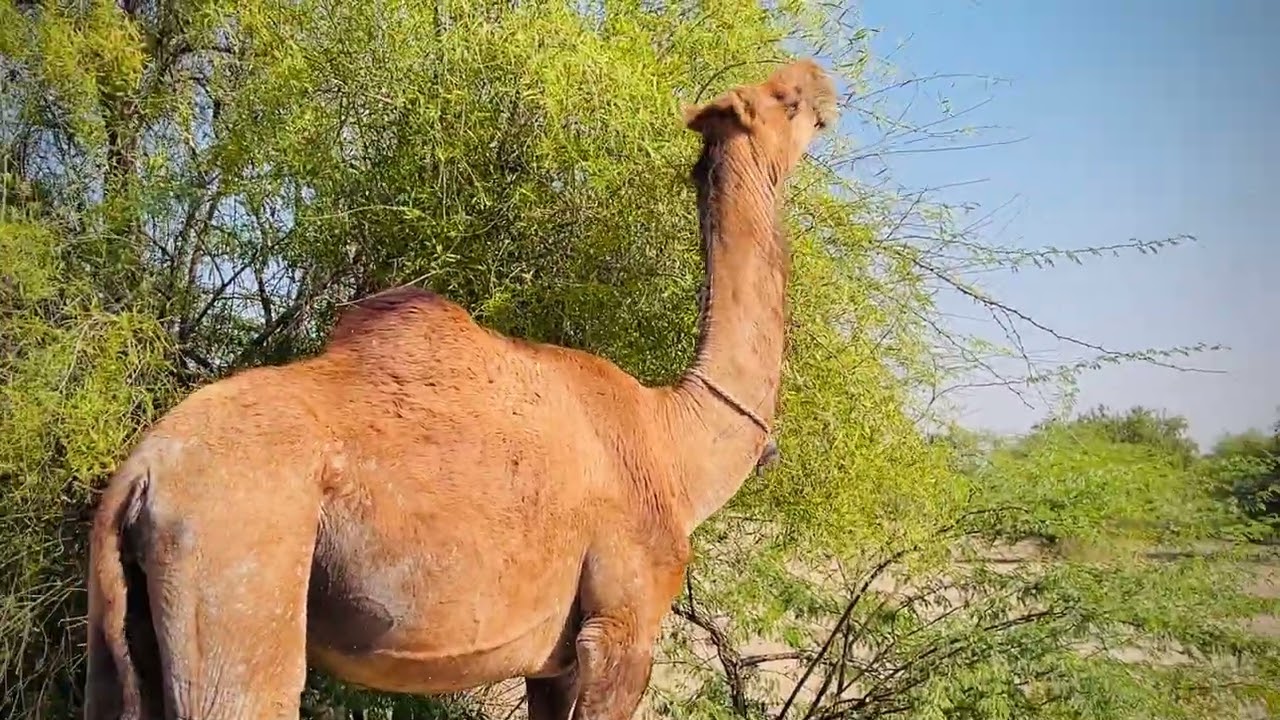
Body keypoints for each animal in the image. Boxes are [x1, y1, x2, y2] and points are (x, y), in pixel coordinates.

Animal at [84, 58, 836, 720]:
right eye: (785, 99)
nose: (821, 80)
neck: (677, 446)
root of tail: (142, 473)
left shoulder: (554, 663)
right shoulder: (624, 627)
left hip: (122, 623)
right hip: (240, 567)